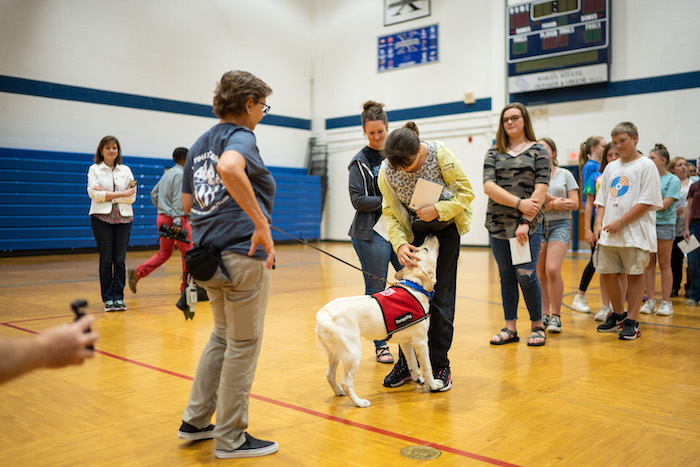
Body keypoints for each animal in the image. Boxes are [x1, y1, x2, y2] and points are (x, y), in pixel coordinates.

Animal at [316, 236, 440, 408]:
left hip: (335, 353)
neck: (415, 287)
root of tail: (324, 313)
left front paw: (418, 378)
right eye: (425, 249)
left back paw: (338, 392)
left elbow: (413, 363)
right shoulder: (421, 341)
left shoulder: (406, 342)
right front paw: (433, 384)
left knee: (329, 375)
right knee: (346, 382)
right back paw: (359, 402)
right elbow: (427, 367)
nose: (431, 235)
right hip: (353, 353)